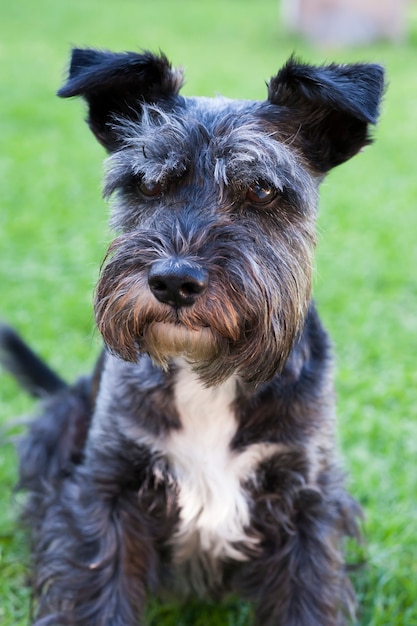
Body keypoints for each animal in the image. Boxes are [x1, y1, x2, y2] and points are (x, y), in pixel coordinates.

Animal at [0, 50, 384, 624]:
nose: (173, 281)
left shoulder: (307, 505)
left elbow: (306, 597)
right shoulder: (105, 495)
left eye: (262, 188)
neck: (209, 374)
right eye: (147, 183)